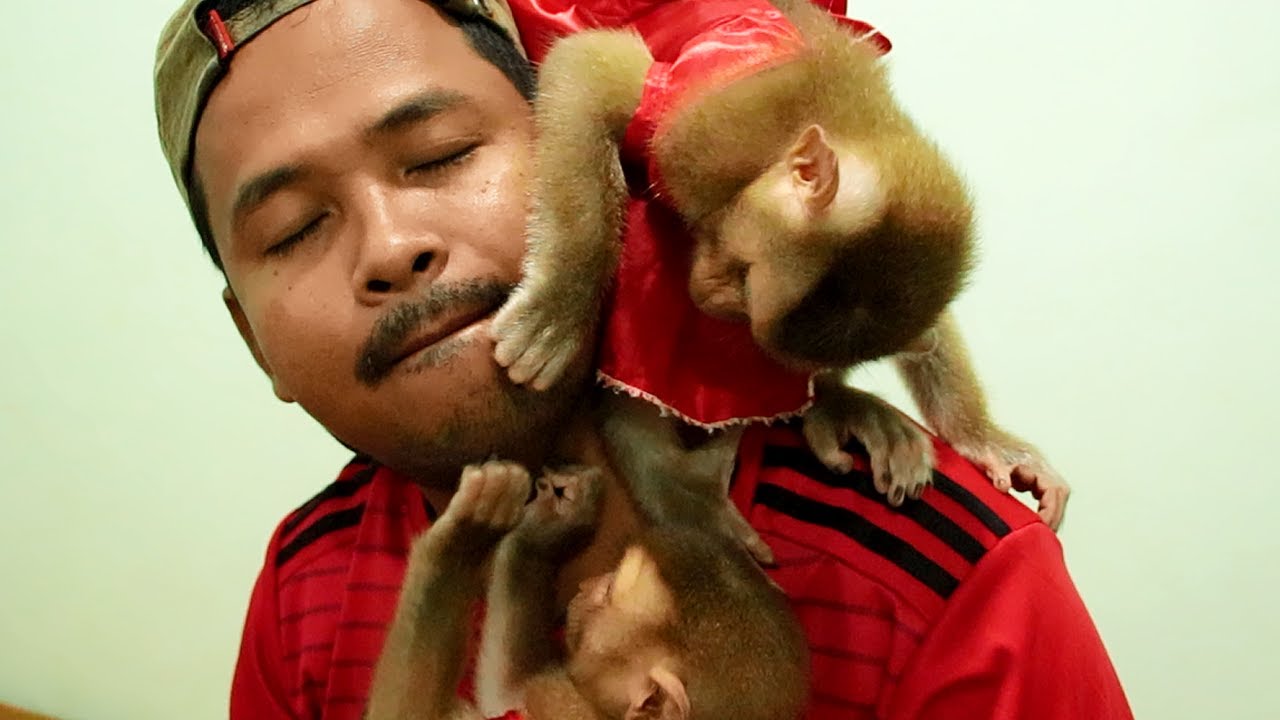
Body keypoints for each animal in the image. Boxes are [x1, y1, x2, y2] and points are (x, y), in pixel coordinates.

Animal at [365, 460, 810, 720]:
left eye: (608, 591)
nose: (585, 586)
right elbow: (508, 693)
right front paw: (549, 529)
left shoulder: (571, 713)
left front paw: (464, 539)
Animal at [489, 0, 1068, 540]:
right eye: (742, 273)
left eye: (745, 303)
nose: (708, 300)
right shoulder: (701, 139)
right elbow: (586, 70)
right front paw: (560, 307)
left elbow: (929, 325)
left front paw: (979, 436)